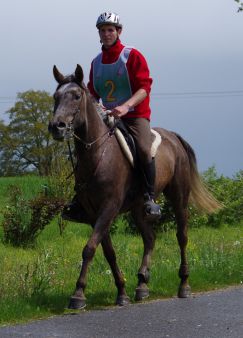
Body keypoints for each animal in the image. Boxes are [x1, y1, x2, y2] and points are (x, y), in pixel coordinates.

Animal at [48, 64, 220, 310]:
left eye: (76, 96)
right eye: (56, 97)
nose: (57, 127)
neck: (98, 154)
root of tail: (174, 137)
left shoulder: (109, 207)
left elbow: (89, 248)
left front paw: (78, 294)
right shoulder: (93, 212)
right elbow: (107, 251)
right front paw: (121, 291)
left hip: (179, 198)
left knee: (182, 236)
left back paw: (184, 285)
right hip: (139, 208)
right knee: (150, 238)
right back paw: (142, 284)